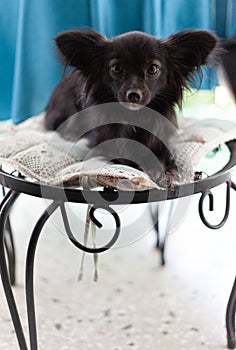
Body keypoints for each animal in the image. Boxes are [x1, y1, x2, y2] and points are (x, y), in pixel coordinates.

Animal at [44, 28, 219, 187]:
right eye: (116, 68)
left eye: (153, 69)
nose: (133, 94)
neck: (136, 117)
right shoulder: (104, 148)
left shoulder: (166, 144)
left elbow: (171, 161)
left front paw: (167, 173)